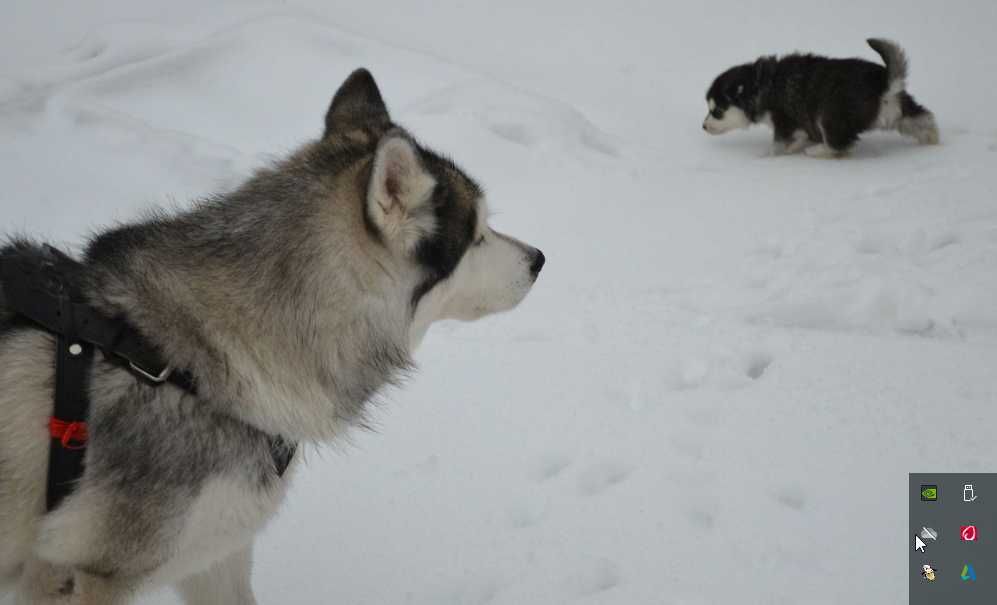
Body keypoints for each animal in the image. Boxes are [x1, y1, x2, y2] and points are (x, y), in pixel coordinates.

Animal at [696, 37, 936, 156]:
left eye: (717, 111)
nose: (704, 127)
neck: (762, 85)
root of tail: (884, 84)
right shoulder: (801, 122)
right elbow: (800, 137)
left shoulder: (784, 120)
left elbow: (779, 144)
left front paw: (766, 156)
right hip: (899, 110)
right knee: (923, 119)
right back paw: (934, 141)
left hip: (829, 114)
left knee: (841, 145)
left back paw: (816, 151)